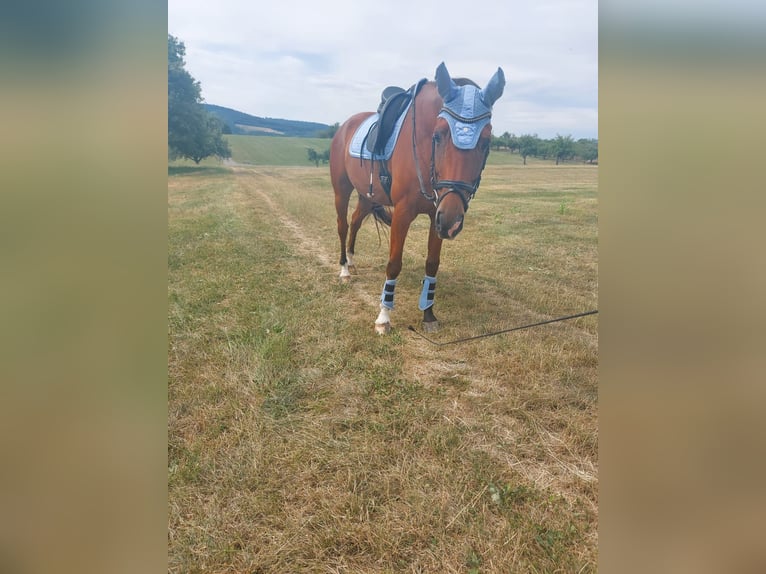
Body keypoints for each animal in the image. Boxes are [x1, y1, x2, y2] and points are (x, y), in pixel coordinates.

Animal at [330, 62, 505, 334]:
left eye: (486, 141)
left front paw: (428, 314)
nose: (453, 220)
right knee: (343, 225)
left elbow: (432, 263)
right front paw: (384, 318)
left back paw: (352, 261)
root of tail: (346, 126)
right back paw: (344, 271)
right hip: (342, 190)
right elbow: (394, 263)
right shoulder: (403, 213)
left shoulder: (437, 215)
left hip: (367, 197)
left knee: (356, 221)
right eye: (438, 136)